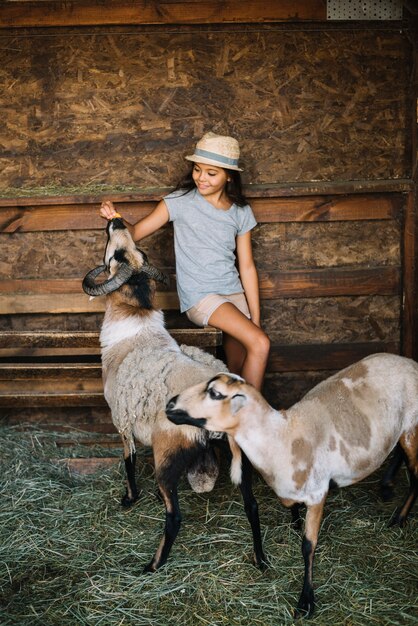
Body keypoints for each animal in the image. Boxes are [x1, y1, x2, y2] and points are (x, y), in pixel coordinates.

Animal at [82, 218, 264, 572]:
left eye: (116, 258)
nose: (117, 221)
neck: (135, 327)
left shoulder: (122, 421)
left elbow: (128, 461)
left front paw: (130, 499)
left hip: (166, 457)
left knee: (175, 516)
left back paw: (152, 565)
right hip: (241, 459)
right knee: (252, 506)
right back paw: (261, 560)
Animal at [167, 354, 418, 616]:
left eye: (215, 393)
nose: (169, 405)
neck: (283, 435)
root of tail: (406, 360)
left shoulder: (318, 494)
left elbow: (308, 546)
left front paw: (306, 601)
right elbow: (291, 507)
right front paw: (295, 522)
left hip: (412, 426)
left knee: (416, 475)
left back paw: (399, 518)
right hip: (400, 431)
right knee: (398, 452)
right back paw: (387, 486)